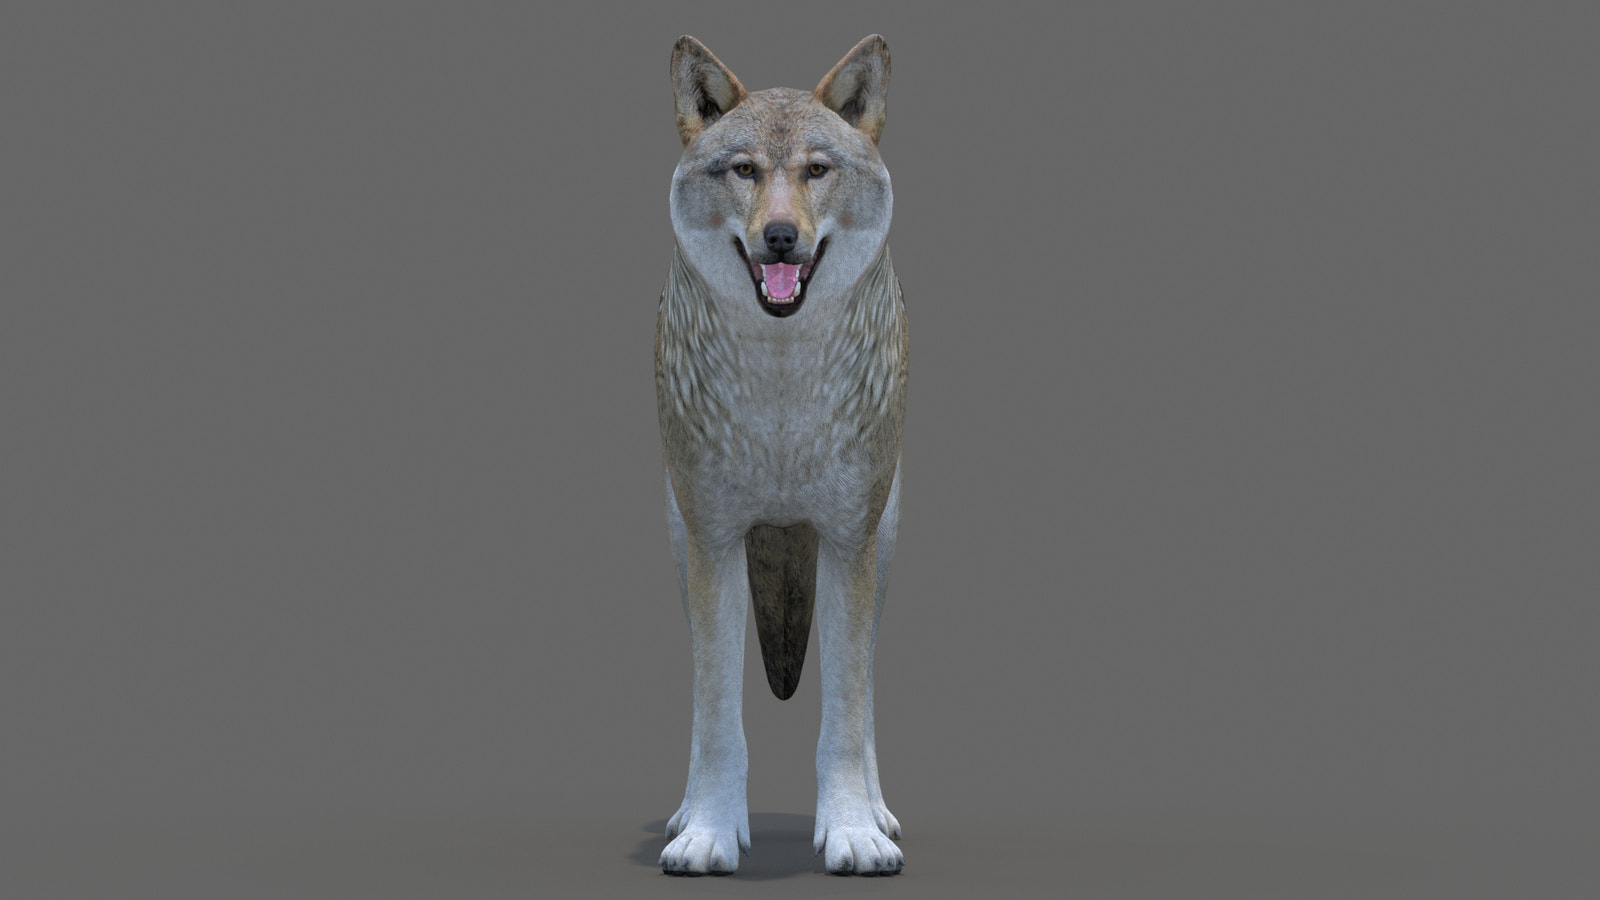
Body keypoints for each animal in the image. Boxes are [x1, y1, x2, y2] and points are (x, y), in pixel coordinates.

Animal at [654, 35, 908, 876]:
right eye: (744, 170)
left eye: (816, 170)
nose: (780, 237)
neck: (781, 393)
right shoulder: (713, 540)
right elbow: (716, 716)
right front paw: (706, 831)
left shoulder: (849, 541)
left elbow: (845, 714)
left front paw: (855, 830)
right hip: (680, 535)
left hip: (883, 540)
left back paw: (882, 811)